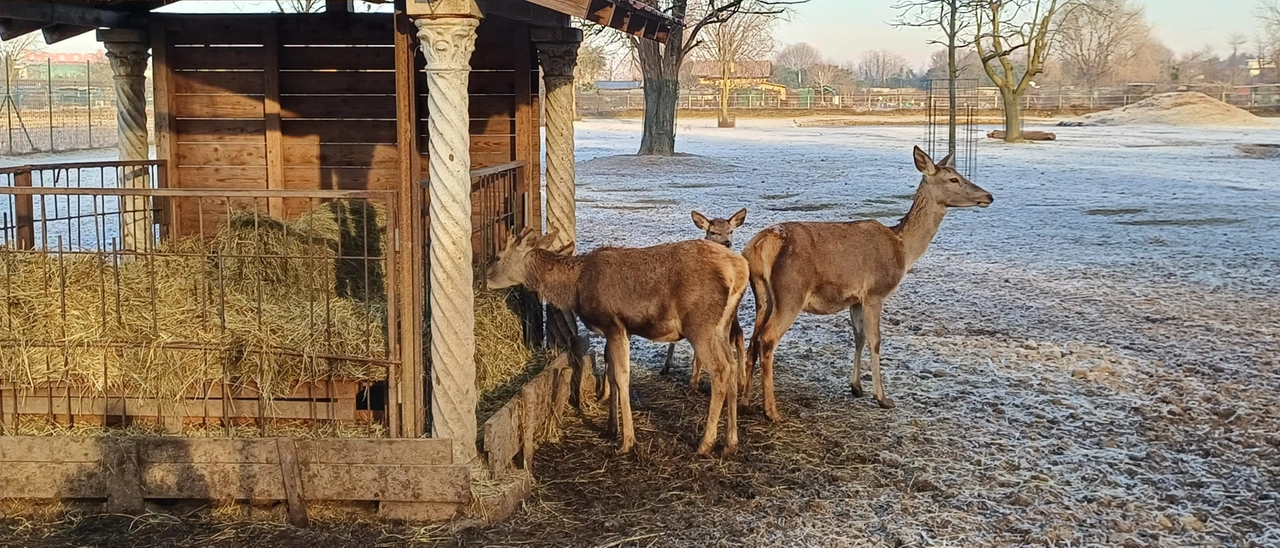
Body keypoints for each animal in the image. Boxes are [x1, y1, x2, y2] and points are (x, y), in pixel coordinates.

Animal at [486, 226, 747, 453]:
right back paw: (730, 442)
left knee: (721, 370)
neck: (575, 286)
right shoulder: (621, 330)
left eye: (497, 257)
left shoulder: (613, 324)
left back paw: (705, 443)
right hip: (722, 326)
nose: (485, 278)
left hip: (700, 324)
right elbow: (610, 374)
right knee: (732, 365)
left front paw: (627, 441)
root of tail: (740, 270)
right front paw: (612, 428)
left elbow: (621, 377)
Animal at [660, 206, 747, 389]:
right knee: (737, 334)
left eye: (731, 231)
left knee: (738, 334)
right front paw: (667, 367)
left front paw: (693, 381)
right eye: (713, 232)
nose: (727, 242)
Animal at [742, 145, 998, 419]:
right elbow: (876, 341)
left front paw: (856, 387)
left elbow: (859, 337)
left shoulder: (856, 299)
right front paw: (883, 398)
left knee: (753, 339)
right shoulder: (876, 292)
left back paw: (744, 401)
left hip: (763, 296)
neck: (903, 249)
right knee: (767, 339)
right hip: (791, 292)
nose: (989, 196)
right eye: (953, 179)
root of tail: (760, 245)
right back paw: (772, 411)